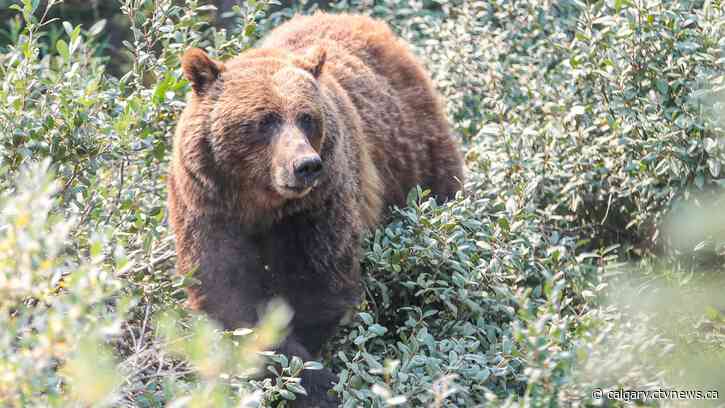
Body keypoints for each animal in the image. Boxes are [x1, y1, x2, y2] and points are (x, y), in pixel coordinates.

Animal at [167, 11, 464, 407]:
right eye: (265, 120)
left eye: (306, 117)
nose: (306, 165)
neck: (259, 202)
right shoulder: (207, 205)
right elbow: (225, 288)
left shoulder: (316, 208)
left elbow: (319, 284)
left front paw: (315, 380)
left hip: (417, 156)